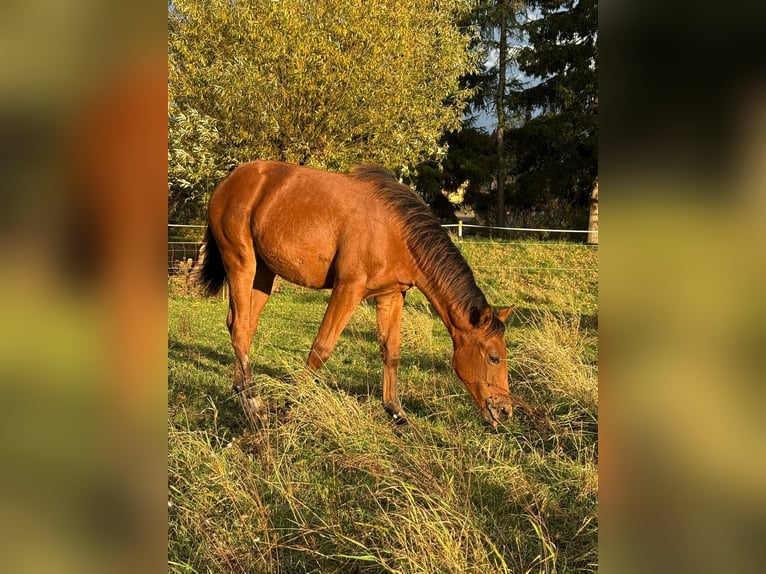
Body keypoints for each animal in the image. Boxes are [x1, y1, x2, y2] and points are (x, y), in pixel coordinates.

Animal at [196, 160, 513, 428]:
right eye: (494, 358)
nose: (505, 410)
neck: (395, 230)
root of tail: (229, 181)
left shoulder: (391, 296)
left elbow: (391, 351)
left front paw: (396, 411)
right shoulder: (348, 289)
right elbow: (321, 347)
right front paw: (291, 404)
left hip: (263, 273)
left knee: (244, 326)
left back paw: (242, 392)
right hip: (241, 263)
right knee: (239, 328)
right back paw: (256, 404)